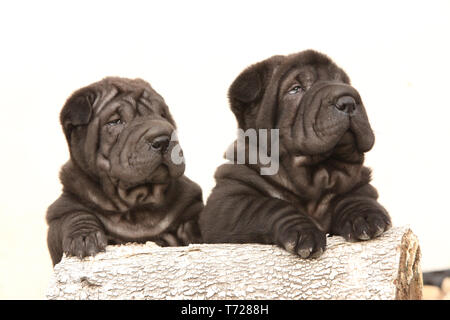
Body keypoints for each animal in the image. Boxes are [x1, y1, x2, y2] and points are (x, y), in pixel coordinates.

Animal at [45, 77, 202, 264]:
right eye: (115, 122)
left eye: (163, 115)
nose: (163, 140)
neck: (137, 202)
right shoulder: (62, 208)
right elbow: (74, 216)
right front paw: (84, 237)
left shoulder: (191, 204)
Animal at [200, 50, 390, 260]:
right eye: (296, 89)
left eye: (342, 82)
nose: (348, 101)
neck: (316, 175)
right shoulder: (226, 203)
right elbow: (268, 206)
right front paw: (303, 231)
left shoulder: (360, 183)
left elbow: (353, 197)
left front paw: (365, 215)